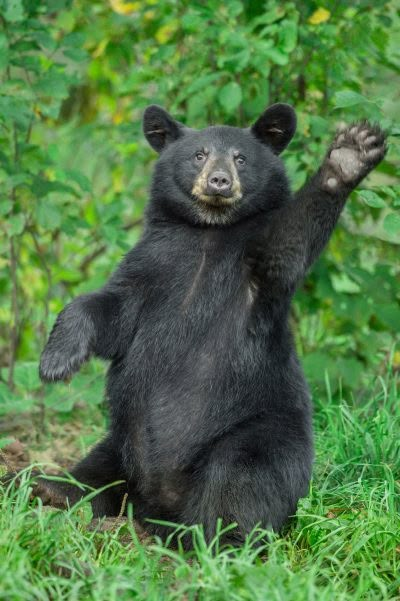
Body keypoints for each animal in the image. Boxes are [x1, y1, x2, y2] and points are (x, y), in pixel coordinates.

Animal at [36, 102, 386, 544]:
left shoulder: (255, 277)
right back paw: (52, 489)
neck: (209, 232)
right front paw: (56, 362)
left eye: (240, 158)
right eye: (199, 155)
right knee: (96, 470)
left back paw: (218, 539)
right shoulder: (153, 266)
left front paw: (350, 156)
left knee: (241, 482)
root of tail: (159, 507)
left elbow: (285, 246)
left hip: (257, 434)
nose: (219, 181)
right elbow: (111, 311)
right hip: (122, 439)